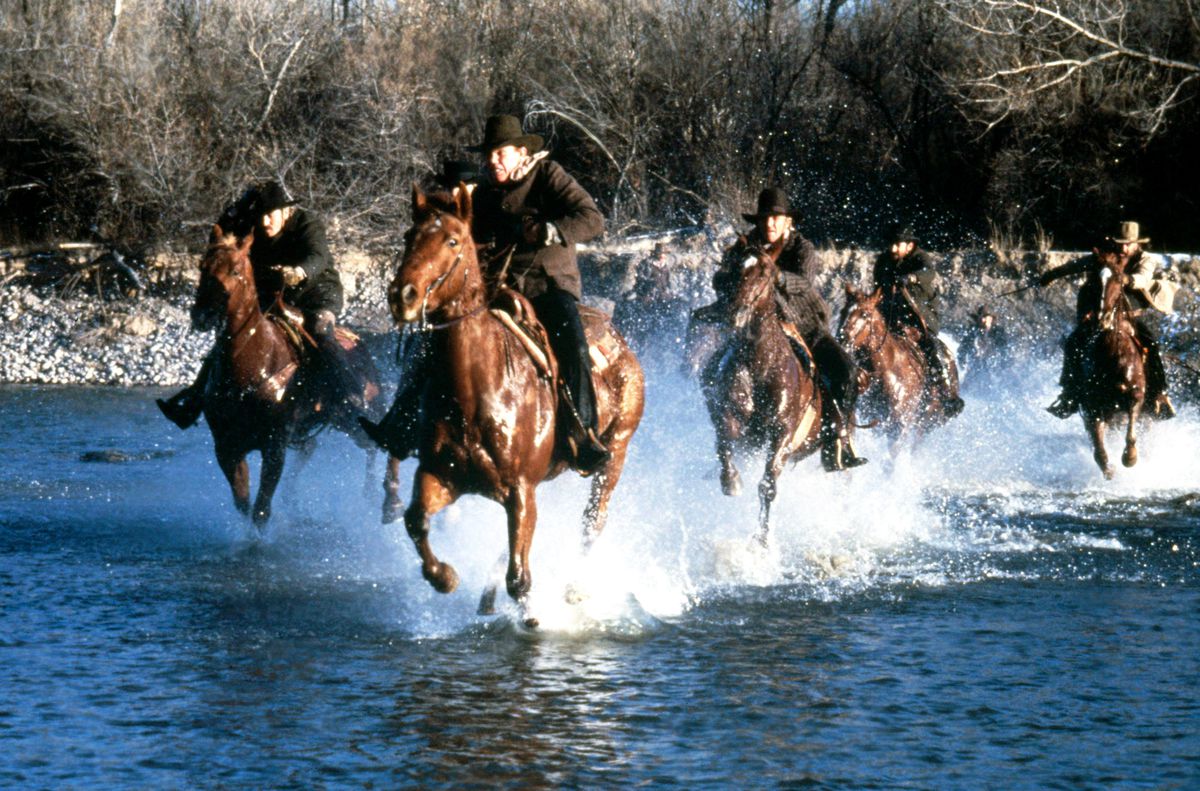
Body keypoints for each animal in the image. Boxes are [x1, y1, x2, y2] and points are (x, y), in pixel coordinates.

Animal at [184, 225, 396, 528]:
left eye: (235, 270)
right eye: (202, 266)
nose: (203, 315)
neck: (252, 366)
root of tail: (359, 343)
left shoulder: (275, 446)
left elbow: (261, 511)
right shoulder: (227, 448)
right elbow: (244, 505)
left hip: (357, 416)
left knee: (377, 444)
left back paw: (385, 500)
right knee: (313, 447)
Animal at [384, 187, 648, 619]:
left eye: (453, 240)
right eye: (409, 236)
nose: (402, 296)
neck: (475, 393)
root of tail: (622, 345)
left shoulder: (521, 488)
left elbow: (519, 577)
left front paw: (533, 616)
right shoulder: (443, 476)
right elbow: (416, 520)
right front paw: (445, 577)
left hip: (615, 452)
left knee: (593, 522)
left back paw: (575, 587)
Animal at [700, 238, 825, 542]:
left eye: (766, 273)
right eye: (730, 270)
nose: (736, 313)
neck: (760, 366)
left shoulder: (782, 432)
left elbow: (768, 484)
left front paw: (762, 540)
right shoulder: (730, 420)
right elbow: (723, 444)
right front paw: (731, 481)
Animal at [835, 284, 955, 448]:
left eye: (865, 314)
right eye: (842, 312)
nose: (841, 342)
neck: (888, 372)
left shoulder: (899, 429)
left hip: (925, 425)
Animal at [1075, 247, 1147, 480]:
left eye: (1118, 278)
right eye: (1094, 281)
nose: (1102, 317)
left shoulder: (1136, 395)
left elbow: (1131, 432)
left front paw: (1130, 457)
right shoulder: (1093, 408)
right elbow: (1098, 448)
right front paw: (1108, 469)